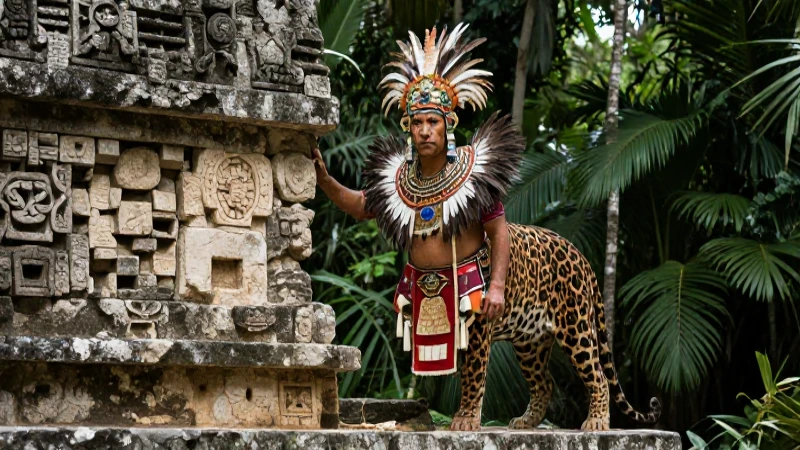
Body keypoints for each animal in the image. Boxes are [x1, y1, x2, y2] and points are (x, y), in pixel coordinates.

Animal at [449, 223, 662, 431]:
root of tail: (581, 257)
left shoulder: (478, 327)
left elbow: (474, 375)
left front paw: (465, 420)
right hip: (530, 345)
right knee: (545, 383)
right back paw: (527, 420)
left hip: (577, 329)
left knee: (599, 376)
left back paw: (597, 420)